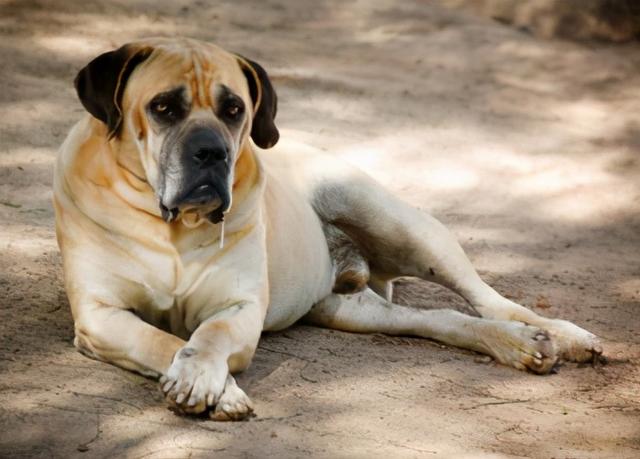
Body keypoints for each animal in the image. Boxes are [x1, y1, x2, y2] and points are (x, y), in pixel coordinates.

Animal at [52, 37, 604, 422]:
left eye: (234, 110)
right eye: (163, 107)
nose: (212, 151)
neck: (171, 231)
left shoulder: (240, 309)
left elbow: (208, 336)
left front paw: (203, 378)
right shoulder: (100, 315)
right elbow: (160, 341)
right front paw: (218, 390)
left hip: (399, 223)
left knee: (489, 298)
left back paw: (558, 336)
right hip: (354, 309)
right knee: (442, 319)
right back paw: (517, 344)